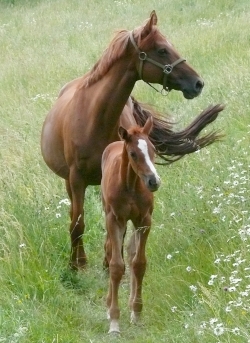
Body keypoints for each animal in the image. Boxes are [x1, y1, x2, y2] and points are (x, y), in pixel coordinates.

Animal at [101, 117, 160, 334]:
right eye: (133, 154)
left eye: (153, 149)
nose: (154, 181)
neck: (131, 185)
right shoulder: (114, 219)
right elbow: (116, 266)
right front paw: (114, 321)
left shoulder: (144, 220)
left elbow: (138, 263)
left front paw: (136, 312)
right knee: (111, 250)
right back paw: (109, 305)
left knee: (131, 251)